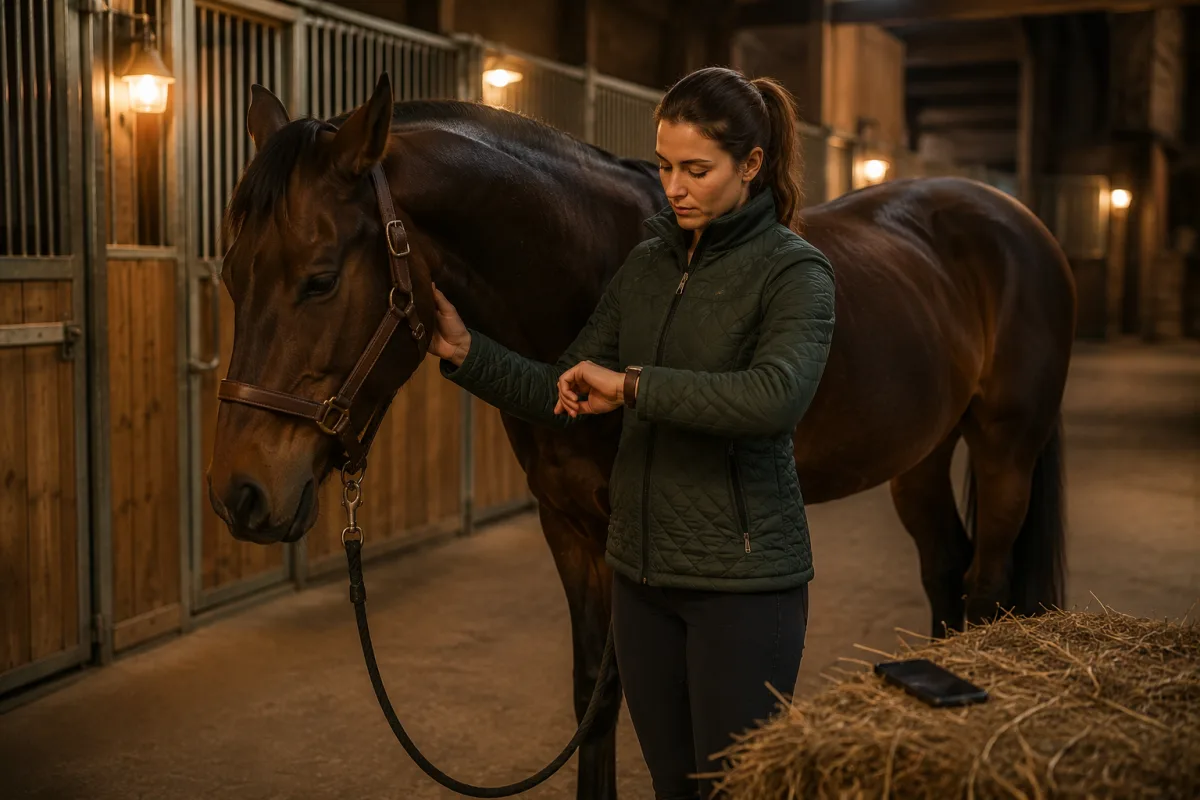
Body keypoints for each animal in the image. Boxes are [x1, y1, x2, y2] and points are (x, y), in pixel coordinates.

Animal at [206, 73, 1075, 800]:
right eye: (230, 275)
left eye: (320, 278)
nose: (237, 496)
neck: (589, 268)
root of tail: (1017, 220)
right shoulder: (571, 529)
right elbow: (594, 696)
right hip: (920, 458)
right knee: (945, 572)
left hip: (1006, 449)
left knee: (986, 585)